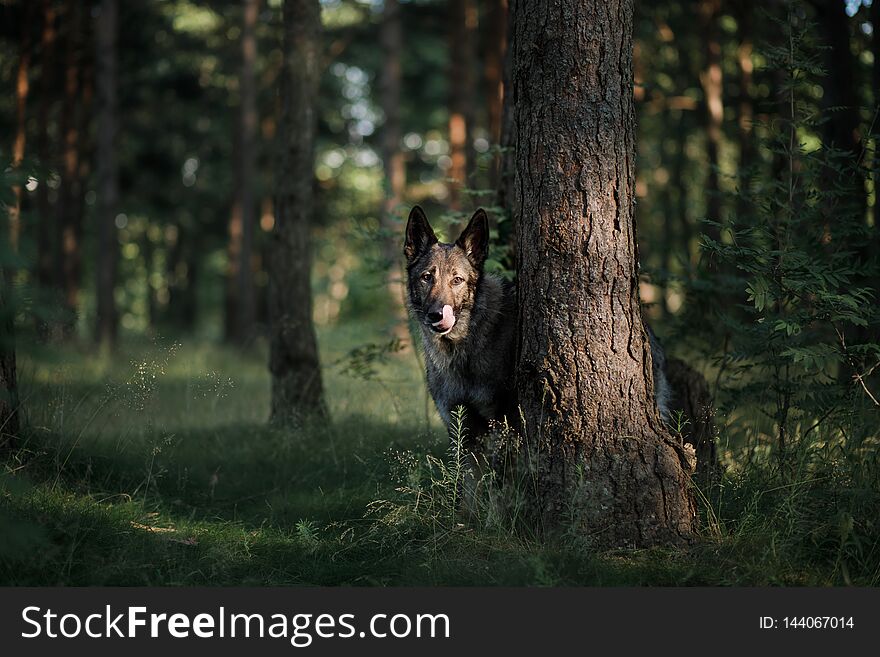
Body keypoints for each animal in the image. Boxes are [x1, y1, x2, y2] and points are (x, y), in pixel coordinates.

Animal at [406, 202, 672, 444]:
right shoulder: (461, 429)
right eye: (427, 278)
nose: (436, 315)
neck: (461, 350)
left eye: (457, 280)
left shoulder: (503, 423)